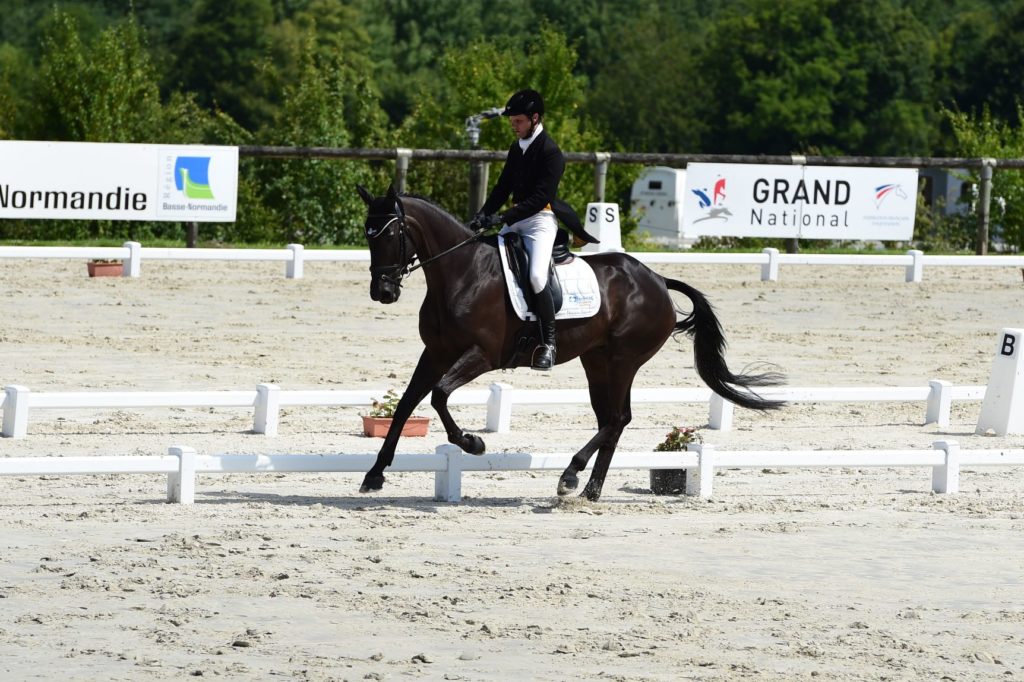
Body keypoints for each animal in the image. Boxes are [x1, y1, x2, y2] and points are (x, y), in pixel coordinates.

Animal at [354, 182, 782, 499]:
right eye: (367, 234)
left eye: (391, 233)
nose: (383, 291)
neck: (462, 273)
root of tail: (658, 280)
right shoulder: (437, 352)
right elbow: (408, 403)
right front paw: (374, 474)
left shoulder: (482, 355)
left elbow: (439, 395)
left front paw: (472, 443)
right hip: (597, 360)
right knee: (611, 419)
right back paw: (590, 489)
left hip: (623, 359)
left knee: (618, 418)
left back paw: (572, 476)